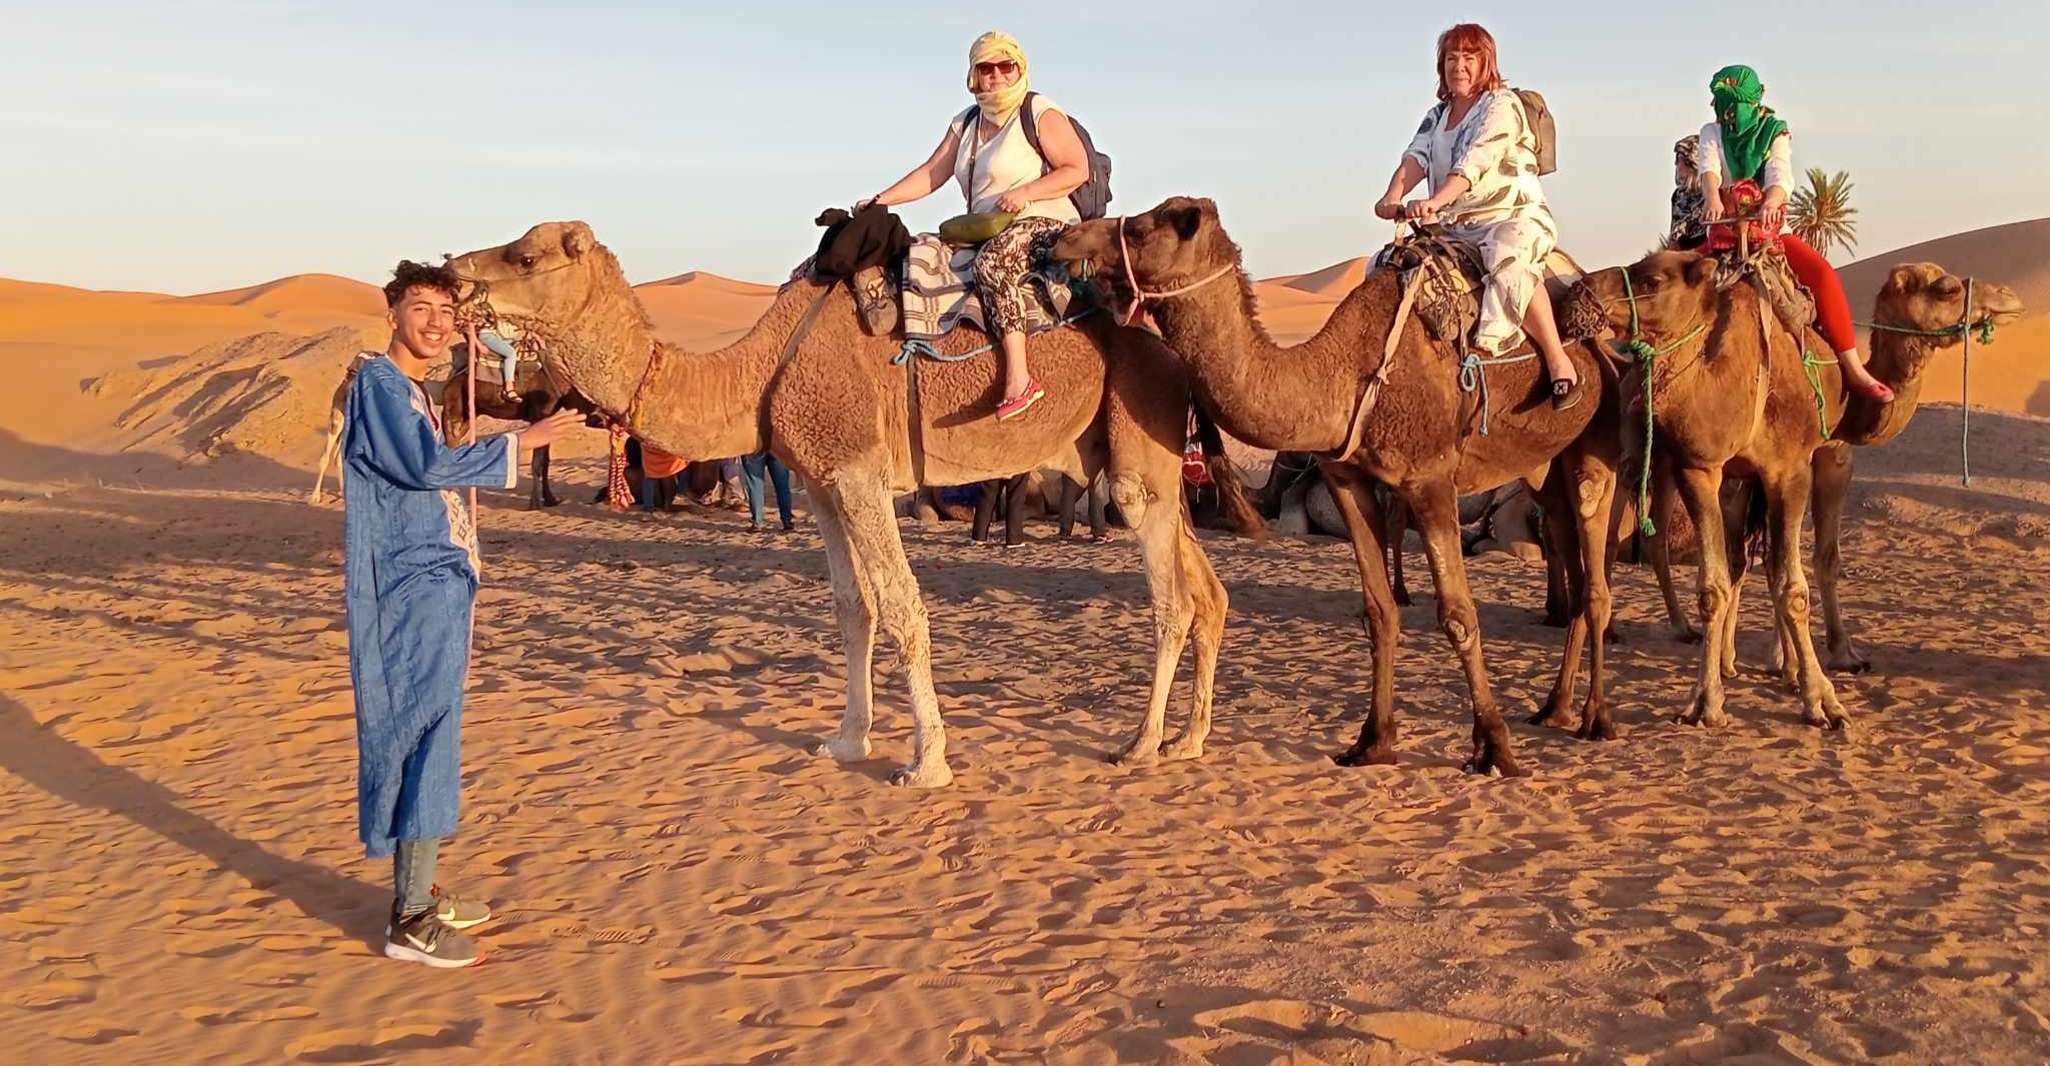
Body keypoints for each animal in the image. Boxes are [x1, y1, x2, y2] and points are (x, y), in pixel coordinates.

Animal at [453, 220, 1246, 787]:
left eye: (525, 256)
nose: (452, 270)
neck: (753, 373)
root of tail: (1173, 355)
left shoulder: (860, 472)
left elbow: (900, 606)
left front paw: (926, 763)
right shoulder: (820, 482)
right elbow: (850, 606)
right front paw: (846, 739)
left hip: (1138, 449)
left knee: (1171, 597)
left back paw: (1141, 744)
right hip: (1151, 464)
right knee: (1208, 590)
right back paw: (1190, 740)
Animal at [1049, 195, 1623, 774]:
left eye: (1143, 229)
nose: (1061, 240)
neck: (1346, 375)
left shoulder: (1430, 479)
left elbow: (1459, 617)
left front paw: (1495, 747)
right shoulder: (1348, 480)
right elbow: (1379, 612)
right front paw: (1373, 741)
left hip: (1599, 443)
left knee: (1597, 581)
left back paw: (1596, 718)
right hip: (1544, 468)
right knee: (1571, 557)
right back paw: (1554, 707)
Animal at [1566, 254, 2017, 729]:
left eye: (1651, 279)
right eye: (1947, 289)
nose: (2007, 297)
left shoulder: (1755, 471)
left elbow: (1760, 572)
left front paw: (1773, 670)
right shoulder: (1801, 461)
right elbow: (1787, 576)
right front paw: (1816, 688)